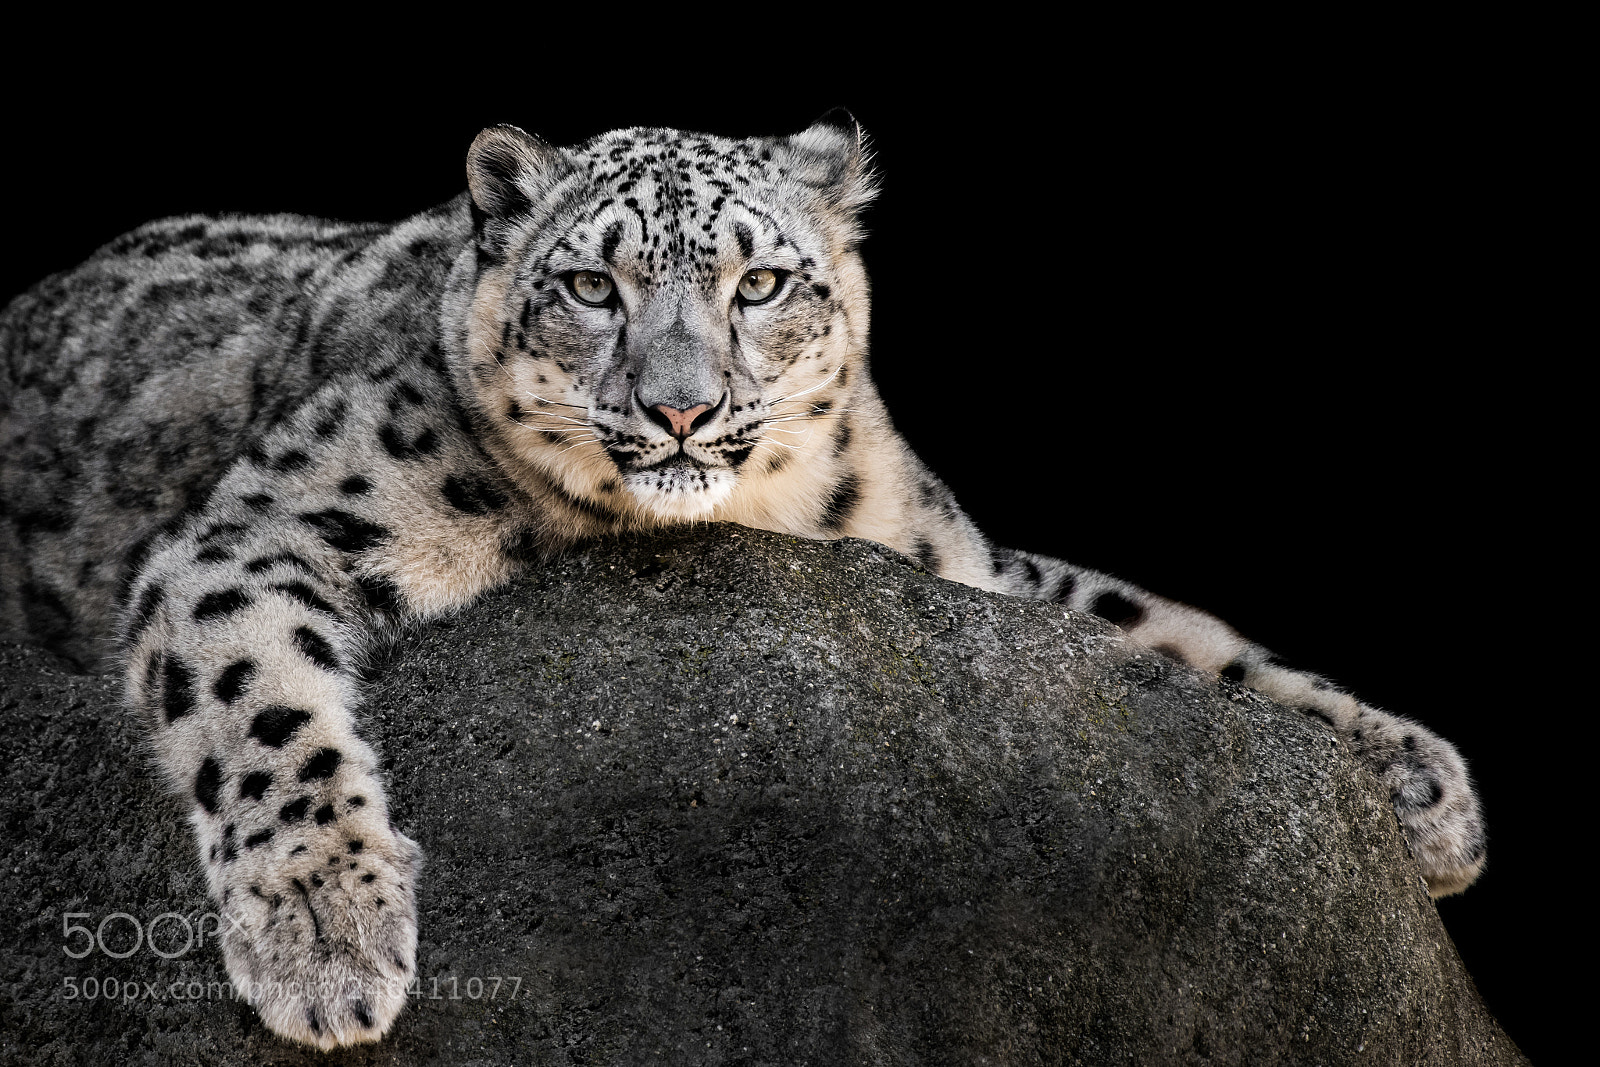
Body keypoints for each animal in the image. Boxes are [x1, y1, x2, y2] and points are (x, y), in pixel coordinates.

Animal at [0, 112, 1486, 1050]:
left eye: (762, 281)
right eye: (591, 287)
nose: (679, 407)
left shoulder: (949, 557)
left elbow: (1159, 625)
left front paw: (1426, 791)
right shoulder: (270, 519)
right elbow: (263, 710)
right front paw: (326, 935)